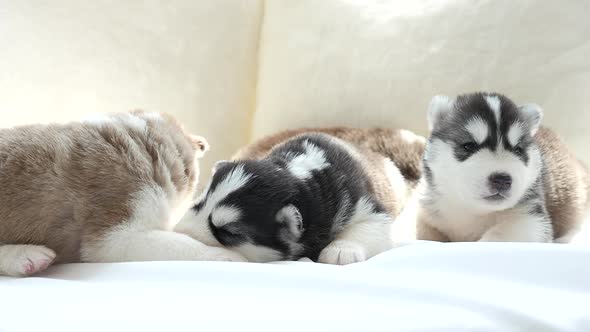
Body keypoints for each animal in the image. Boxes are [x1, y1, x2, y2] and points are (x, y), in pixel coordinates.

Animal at [418, 92, 588, 243]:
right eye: (469, 146)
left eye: (518, 150)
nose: (502, 180)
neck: (476, 211)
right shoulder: (426, 211)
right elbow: (422, 231)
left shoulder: (532, 219)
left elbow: (498, 235)